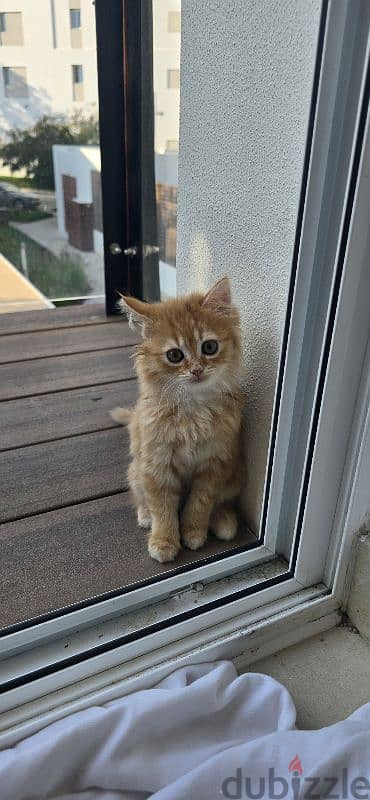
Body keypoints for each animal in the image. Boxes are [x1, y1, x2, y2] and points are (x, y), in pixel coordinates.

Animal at [112, 278, 246, 564]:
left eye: (209, 347)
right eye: (175, 355)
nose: (196, 370)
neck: (192, 410)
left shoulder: (215, 465)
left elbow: (200, 503)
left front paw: (194, 532)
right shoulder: (156, 465)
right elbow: (163, 509)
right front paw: (164, 542)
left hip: (234, 474)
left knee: (223, 502)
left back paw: (224, 521)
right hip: (135, 471)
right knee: (141, 499)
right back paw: (145, 516)